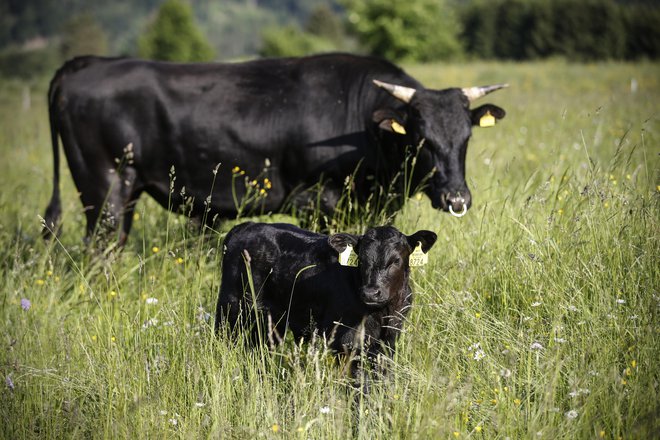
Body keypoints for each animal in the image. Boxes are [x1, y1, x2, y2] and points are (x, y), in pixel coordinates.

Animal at [41, 53, 506, 244]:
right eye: (421, 138)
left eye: (465, 138)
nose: (458, 199)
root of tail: (90, 62)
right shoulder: (316, 201)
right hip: (104, 188)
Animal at [214, 222, 436, 376]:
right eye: (361, 260)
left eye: (396, 260)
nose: (371, 292)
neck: (382, 313)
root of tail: (246, 226)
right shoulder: (348, 343)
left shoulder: (388, 342)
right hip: (231, 308)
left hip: (270, 322)